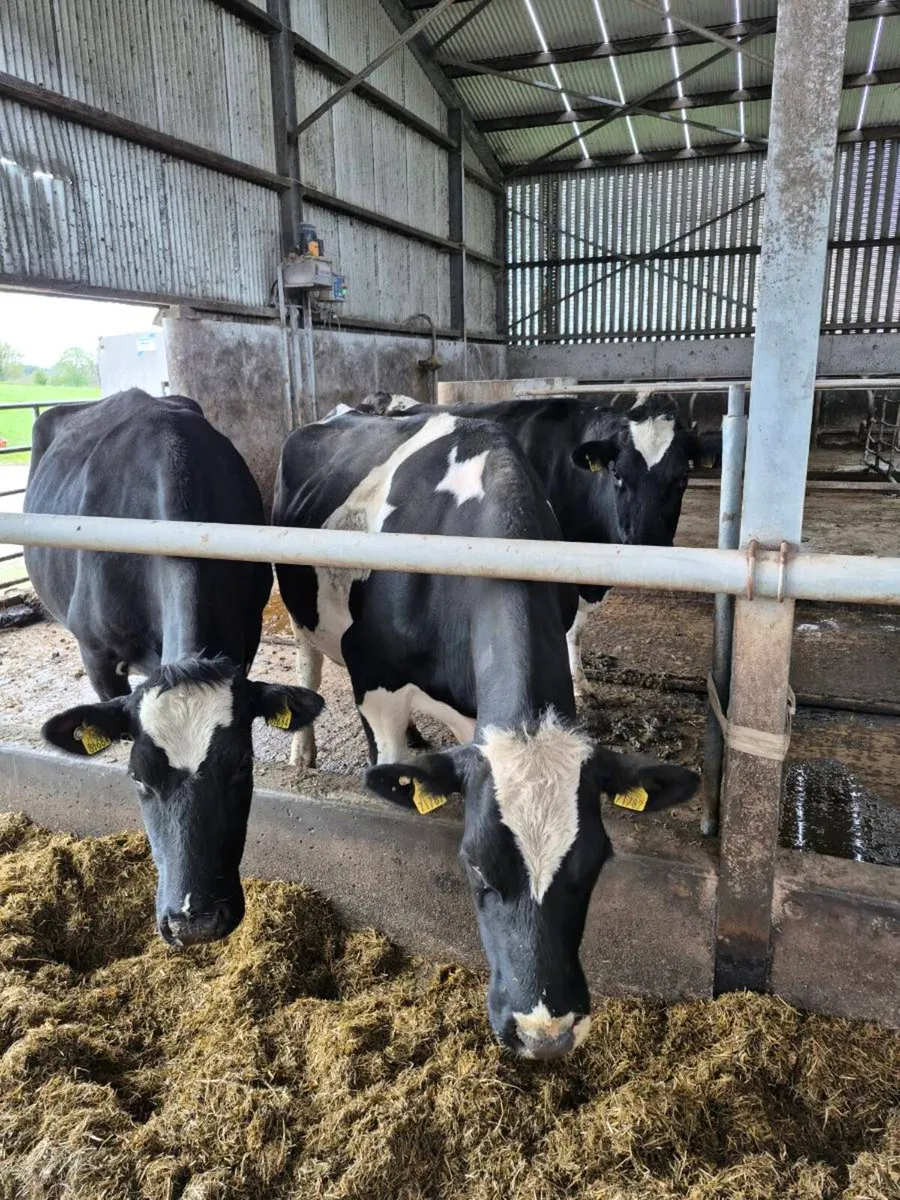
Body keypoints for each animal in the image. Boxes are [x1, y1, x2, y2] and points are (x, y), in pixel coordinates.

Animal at [273, 409, 698, 1057]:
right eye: (474, 865)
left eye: (594, 865)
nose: (544, 1035)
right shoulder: (375, 677)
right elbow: (387, 764)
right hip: (298, 608)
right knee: (308, 664)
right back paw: (303, 752)